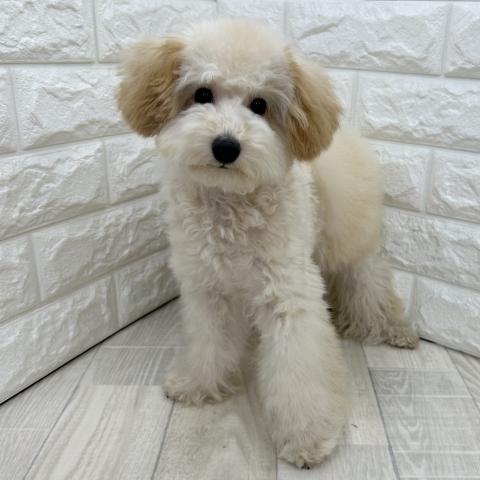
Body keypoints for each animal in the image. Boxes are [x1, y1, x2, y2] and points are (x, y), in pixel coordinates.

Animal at [117, 19, 418, 469]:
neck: (232, 204)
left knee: (372, 284)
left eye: (260, 105)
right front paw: (196, 384)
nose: (226, 146)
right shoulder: (207, 287)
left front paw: (309, 439)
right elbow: (208, 342)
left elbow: (298, 370)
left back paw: (393, 329)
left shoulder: (287, 292)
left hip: (352, 246)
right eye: (202, 94)